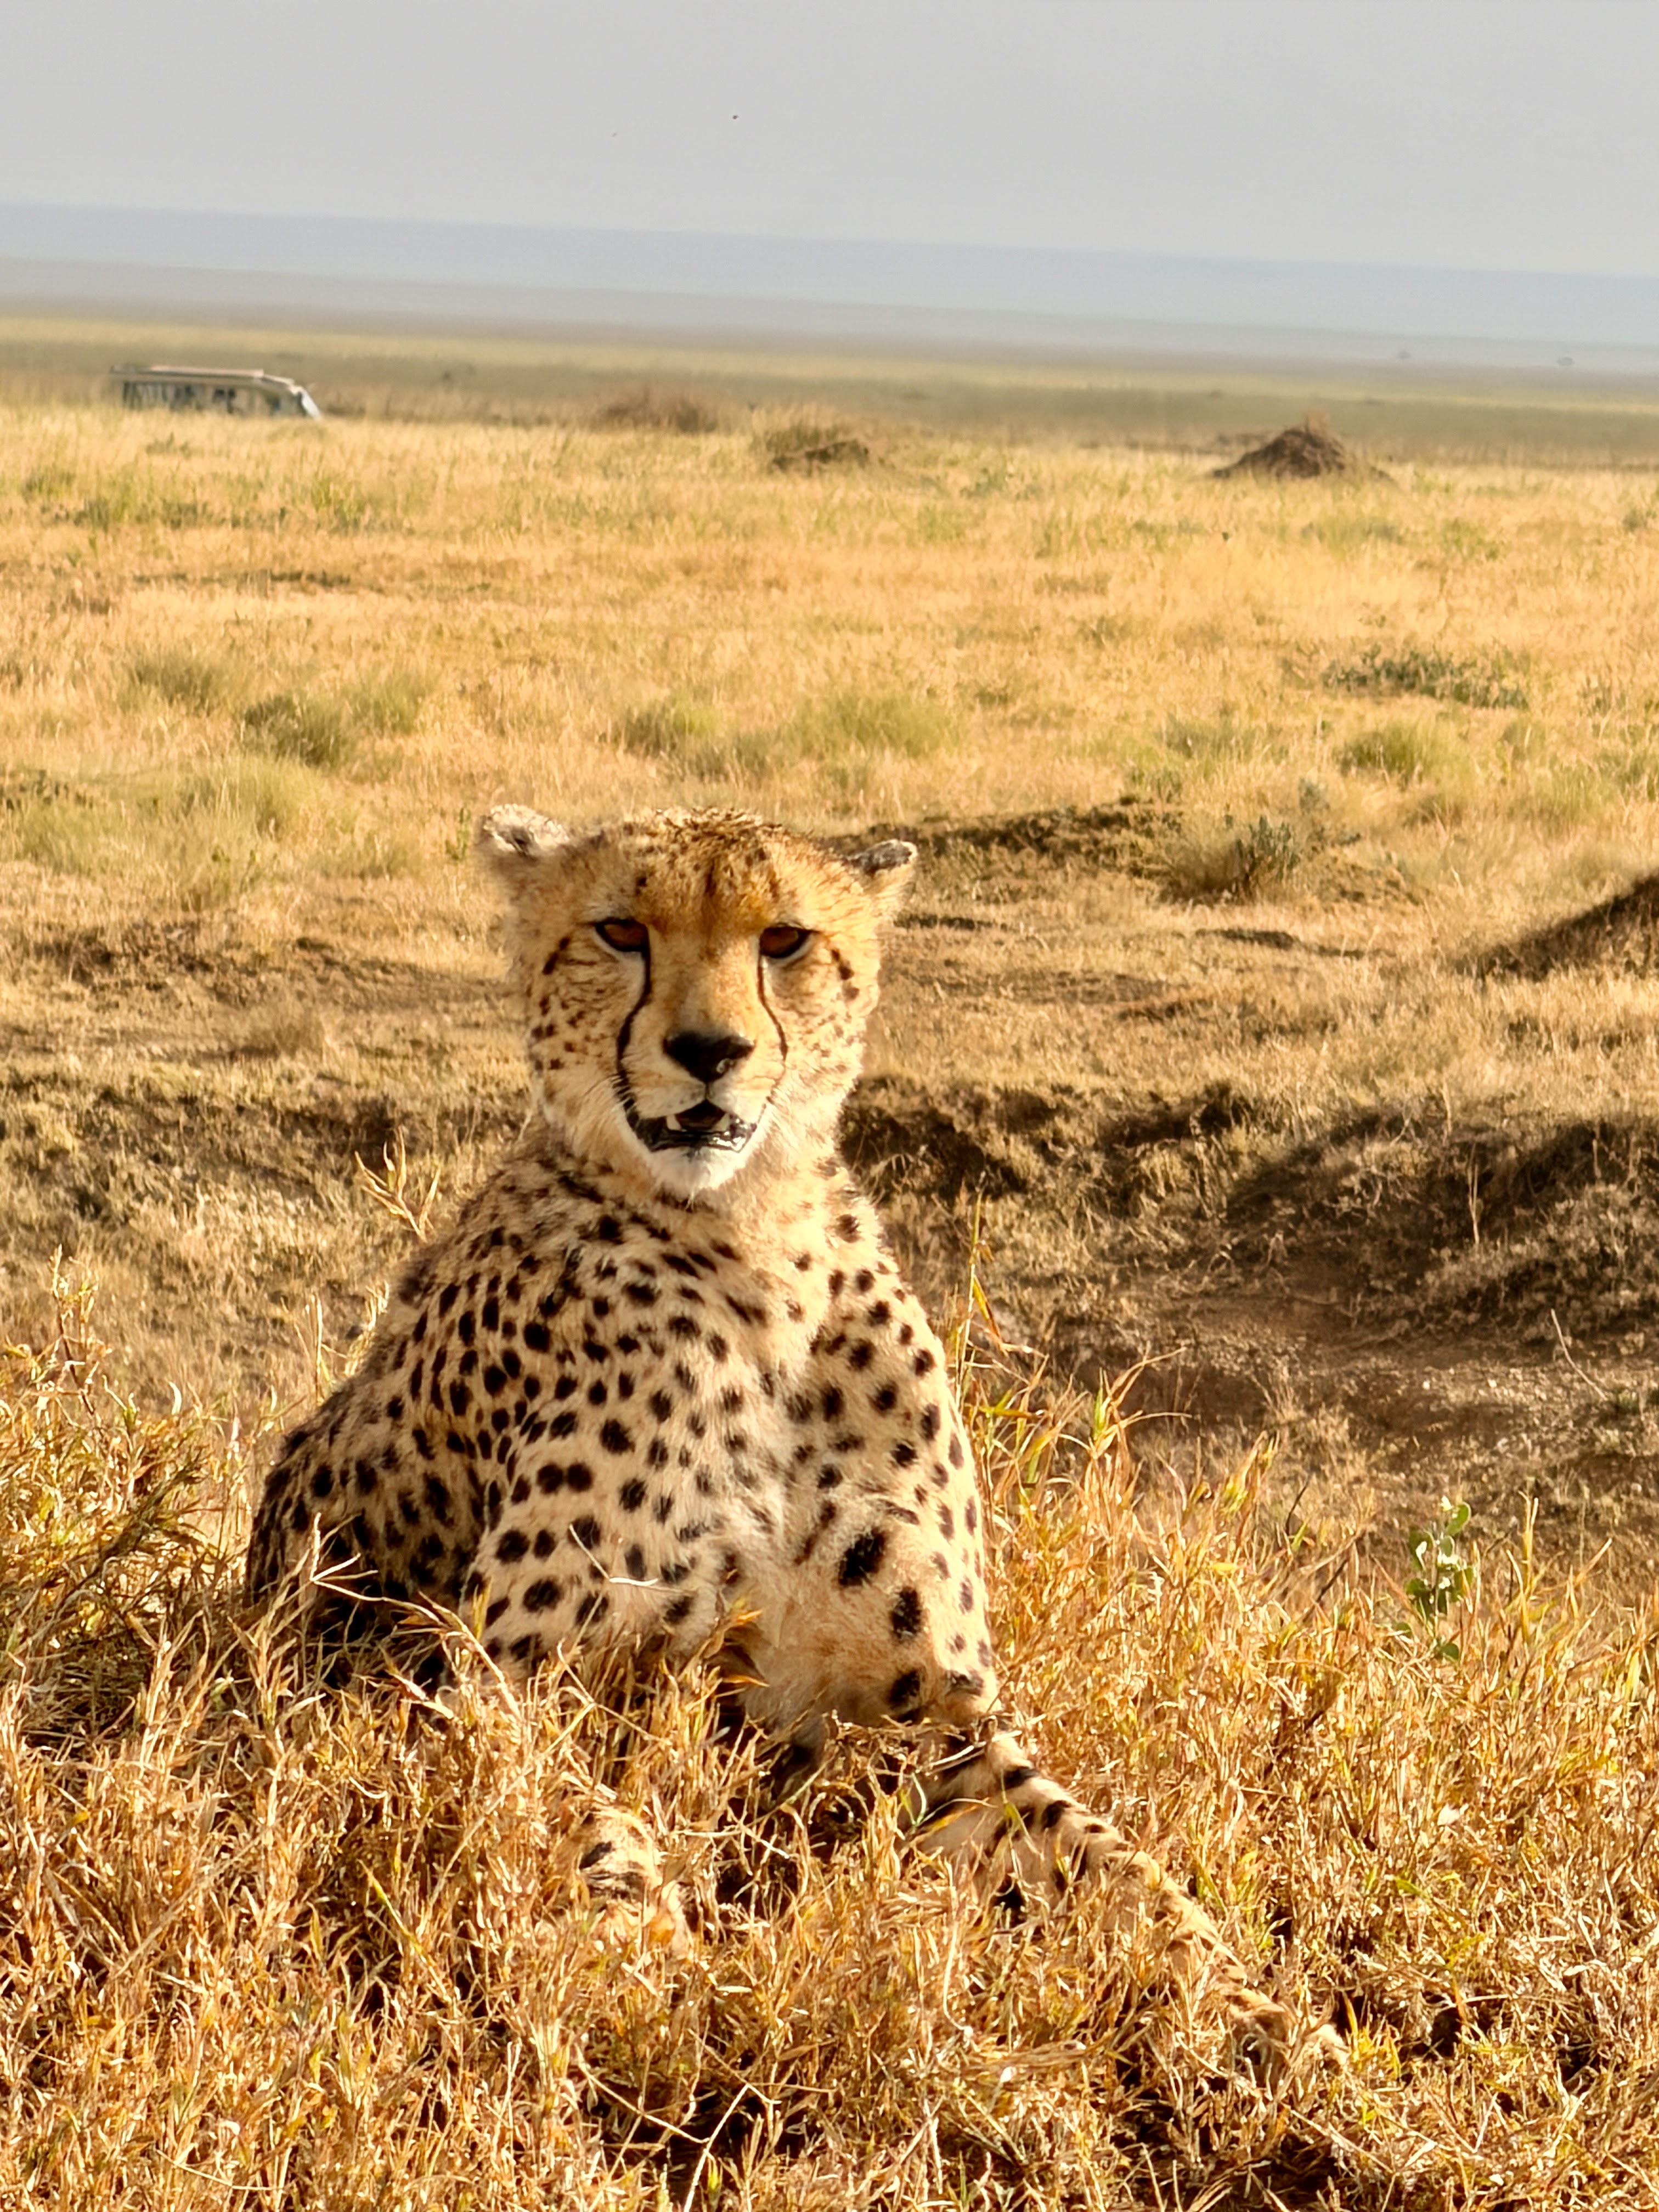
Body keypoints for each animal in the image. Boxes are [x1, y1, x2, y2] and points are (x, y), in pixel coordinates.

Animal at [246, 803, 1302, 2071]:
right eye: (620, 930)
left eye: (785, 940)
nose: (710, 1051)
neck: (753, 1240)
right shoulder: (512, 1680)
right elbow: (599, 1837)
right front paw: (664, 1978)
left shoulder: (927, 1714)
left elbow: (1112, 1863)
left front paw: (1254, 2015)